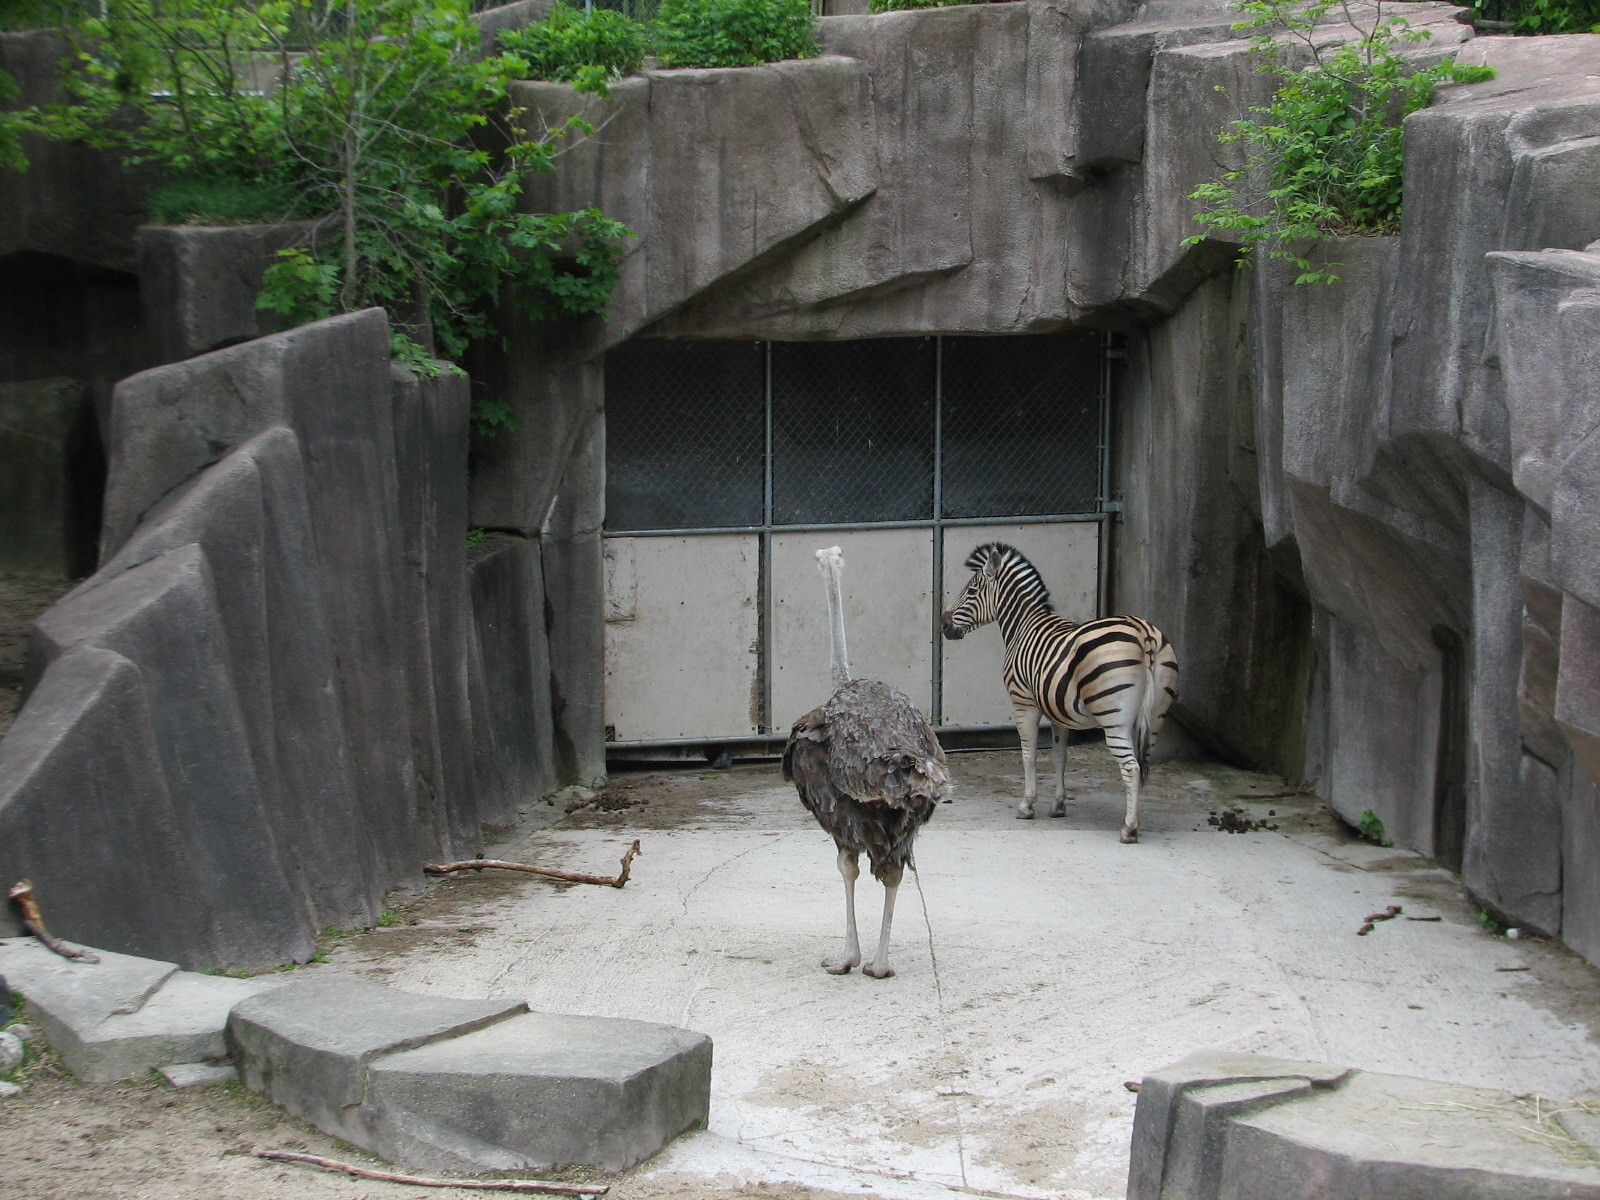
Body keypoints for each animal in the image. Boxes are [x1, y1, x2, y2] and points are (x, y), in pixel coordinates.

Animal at [940, 542, 1179, 842]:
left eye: (971, 591)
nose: (943, 623)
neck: (1023, 625)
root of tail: (1144, 633)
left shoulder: (1023, 703)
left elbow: (1028, 755)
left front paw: (1027, 805)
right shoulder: (1058, 711)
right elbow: (1059, 756)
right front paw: (1058, 805)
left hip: (1114, 717)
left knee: (1131, 767)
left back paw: (1129, 828)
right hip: (1156, 717)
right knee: (1142, 764)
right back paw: (1135, 819)